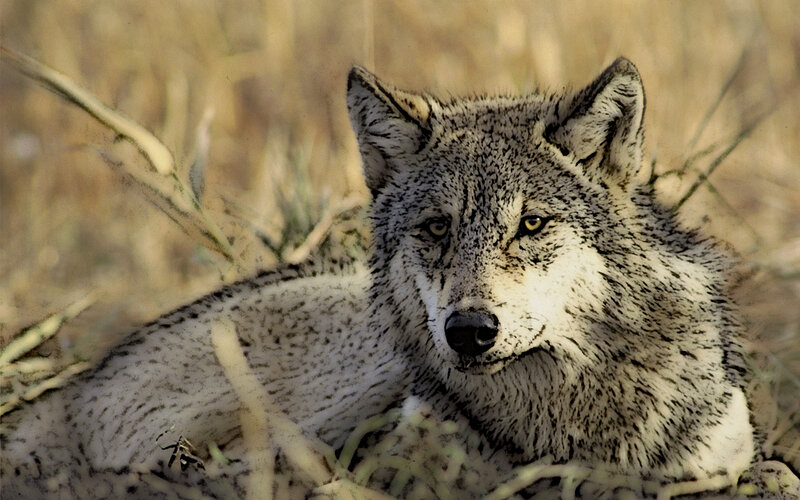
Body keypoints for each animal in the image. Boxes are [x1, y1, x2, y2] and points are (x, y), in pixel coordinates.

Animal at [2, 58, 757, 497]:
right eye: (436, 228)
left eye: (532, 225)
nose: (469, 332)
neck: (566, 421)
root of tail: (75, 385)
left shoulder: (721, 456)